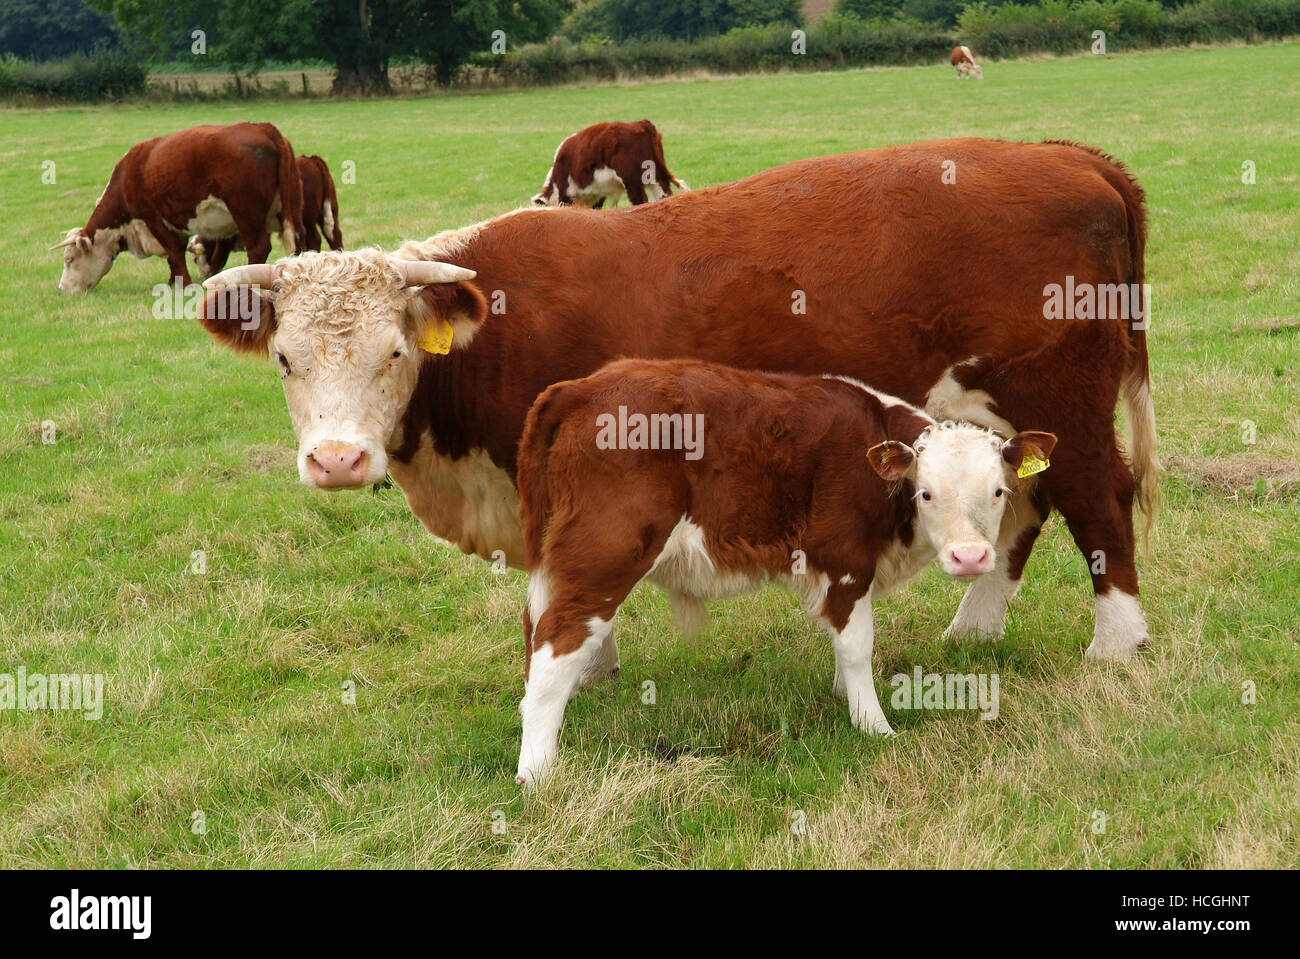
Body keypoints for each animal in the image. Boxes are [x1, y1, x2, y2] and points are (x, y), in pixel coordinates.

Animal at [53, 122, 304, 293]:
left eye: (70, 260)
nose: (62, 288)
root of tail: (264, 128)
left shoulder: (153, 218)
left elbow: (173, 252)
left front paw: (184, 283)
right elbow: (178, 253)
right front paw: (175, 280)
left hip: (246, 214)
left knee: (258, 247)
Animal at [189, 154, 342, 282]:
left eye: (195, 259)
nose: (201, 276)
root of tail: (310, 159)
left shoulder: (226, 238)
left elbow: (218, 257)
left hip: (308, 219)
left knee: (315, 239)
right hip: (329, 211)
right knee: (334, 235)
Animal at [513, 358, 1058, 784]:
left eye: (998, 490)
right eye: (926, 493)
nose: (970, 557)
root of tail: (578, 388)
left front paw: (846, 697)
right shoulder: (845, 561)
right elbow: (857, 645)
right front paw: (874, 725)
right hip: (604, 557)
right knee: (556, 646)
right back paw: (537, 774)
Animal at [531, 120, 687, 208]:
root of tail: (641, 123)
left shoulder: (566, 195)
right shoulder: (598, 194)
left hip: (632, 181)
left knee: (641, 200)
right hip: (656, 177)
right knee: (664, 196)